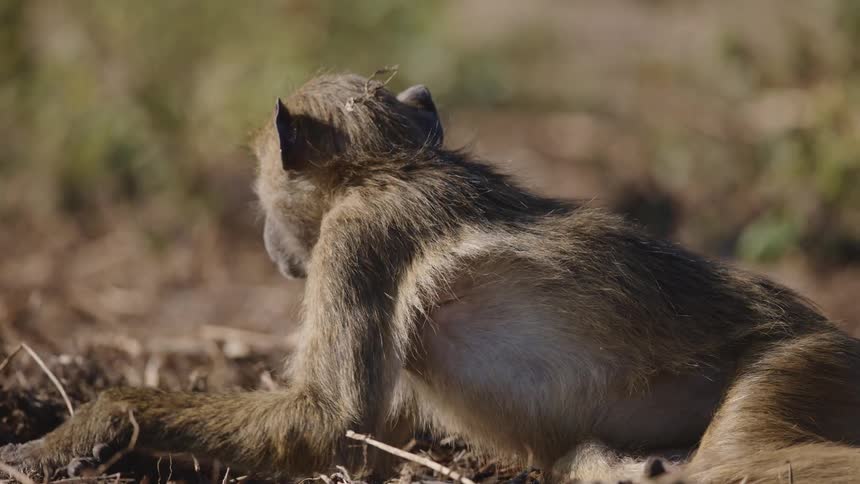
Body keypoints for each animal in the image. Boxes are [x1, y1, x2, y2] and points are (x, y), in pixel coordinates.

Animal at [4, 71, 860, 483]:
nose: (271, 246)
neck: (389, 167)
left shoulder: (356, 241)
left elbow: (326, 419)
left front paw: (83, 428)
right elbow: (364, 443)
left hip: (807, 366)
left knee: (734, 465)